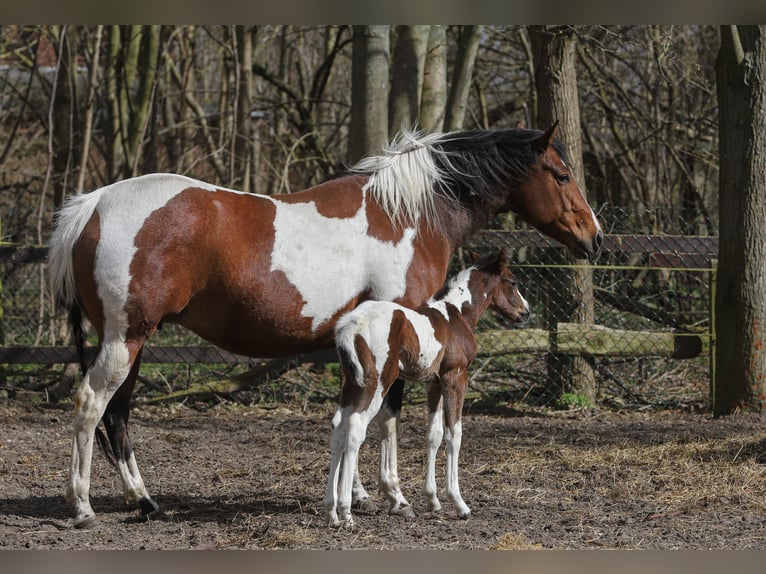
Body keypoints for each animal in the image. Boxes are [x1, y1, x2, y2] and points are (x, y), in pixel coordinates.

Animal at [324, 249, 529, 527]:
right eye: (513, 281)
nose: (526, 312)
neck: (456, 315)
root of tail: (352, 324)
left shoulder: (435, 383)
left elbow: (434, 434)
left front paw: (433, 499)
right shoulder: (456, 378)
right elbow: (454, 433)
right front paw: (459, 503)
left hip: (352, 384)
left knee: (338, 426)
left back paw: (331, 510)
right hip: (377, 383)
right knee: (355, 427)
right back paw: (346, 511)